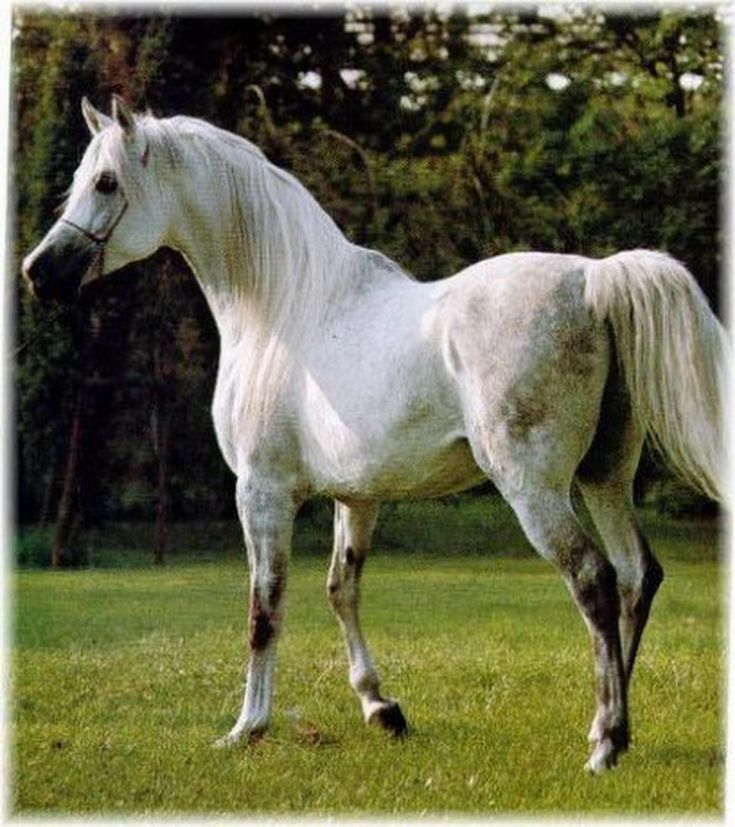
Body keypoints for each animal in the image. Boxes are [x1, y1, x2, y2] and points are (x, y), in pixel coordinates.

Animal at [23, 97, 732, 776]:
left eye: (107, 182)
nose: (37, 271)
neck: (283, 309)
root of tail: (593, 281)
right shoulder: (356, 496)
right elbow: (342, 588)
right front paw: (380, 708)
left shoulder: (261, 492)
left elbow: (265, 607)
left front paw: (247, 728)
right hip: (604, 477)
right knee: (636, 576)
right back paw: (613, 727)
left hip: (537, 488)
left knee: (593, 578)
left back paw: (605, 743)